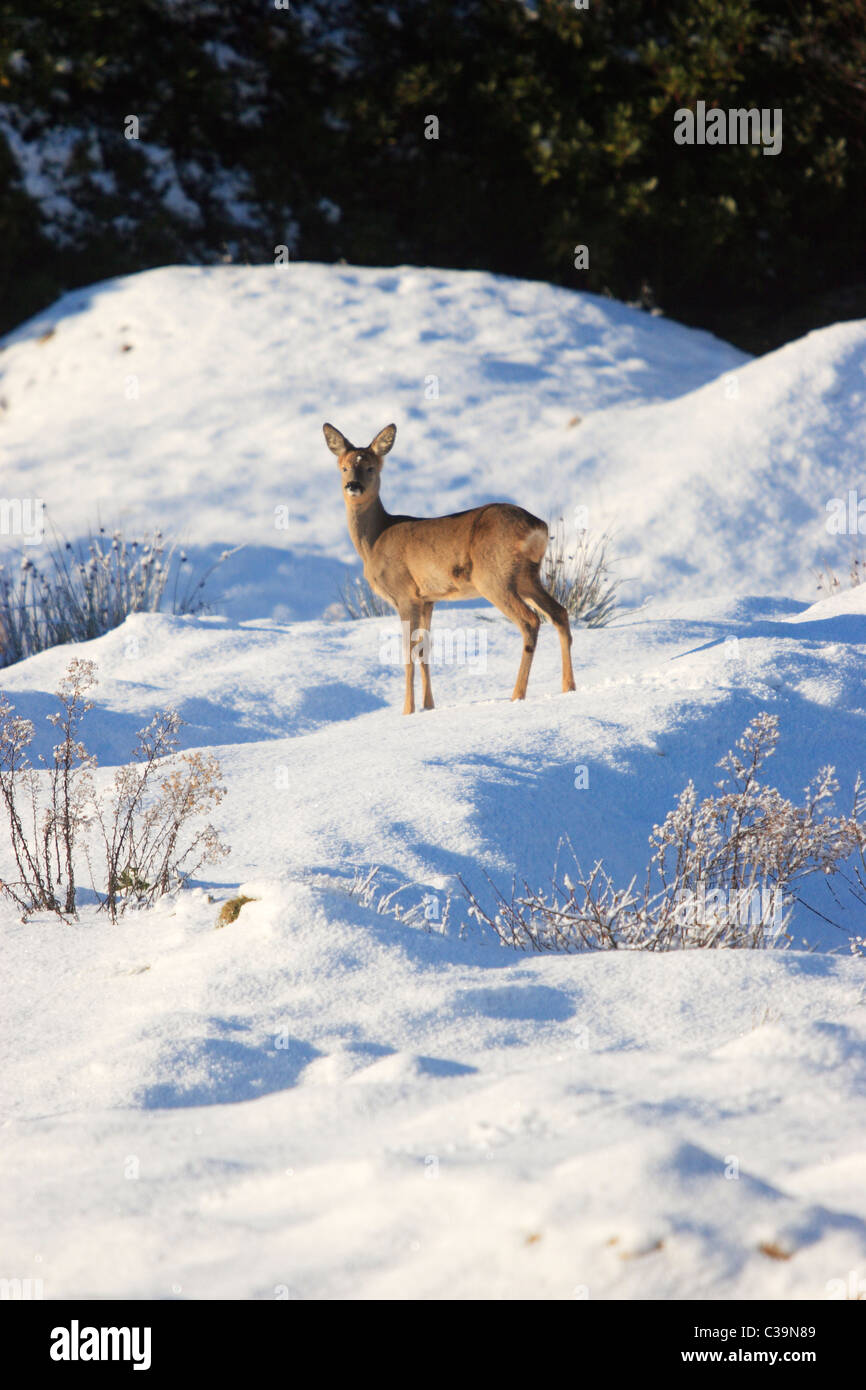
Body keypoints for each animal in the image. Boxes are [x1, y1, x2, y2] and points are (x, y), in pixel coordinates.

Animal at [323, 422, 576, 714]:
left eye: (371, 467)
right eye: (344, 467)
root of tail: (538, 527)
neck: (375, 539)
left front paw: (407, 710)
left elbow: (408, 650)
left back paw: (517, 695)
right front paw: (429, 706)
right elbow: (425, 648)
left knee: (530, 621)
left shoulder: (405, 594)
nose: (353, 485)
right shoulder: (428, 598)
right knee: (559, 613)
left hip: (494, 577)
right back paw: (569, 687)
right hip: (527, 576)